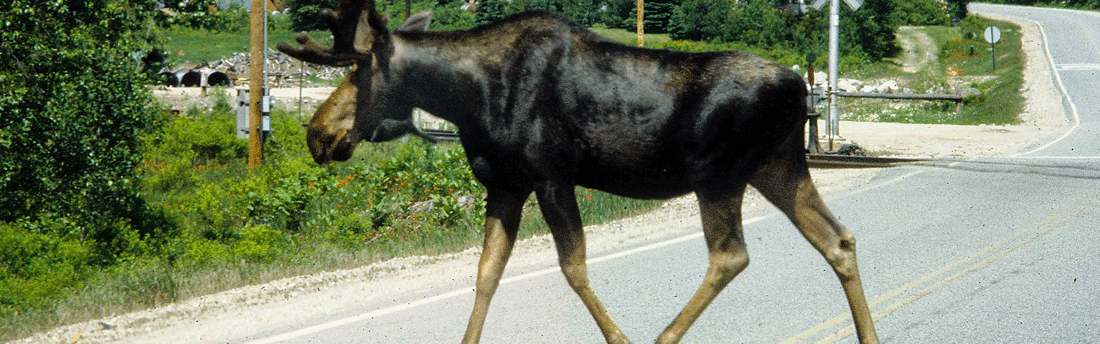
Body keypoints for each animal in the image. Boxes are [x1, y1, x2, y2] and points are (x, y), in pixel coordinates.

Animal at [279, 1, 880, 340]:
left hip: (719, 174)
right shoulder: (505, 183)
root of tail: (801, 87)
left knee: (731, 255)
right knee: (838, 239)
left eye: (357, 71)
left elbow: (573, 268)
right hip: (778, 167)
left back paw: (661, 338)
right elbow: (486, 272)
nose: (318, 134)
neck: (465, 97)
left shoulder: (551, 176)